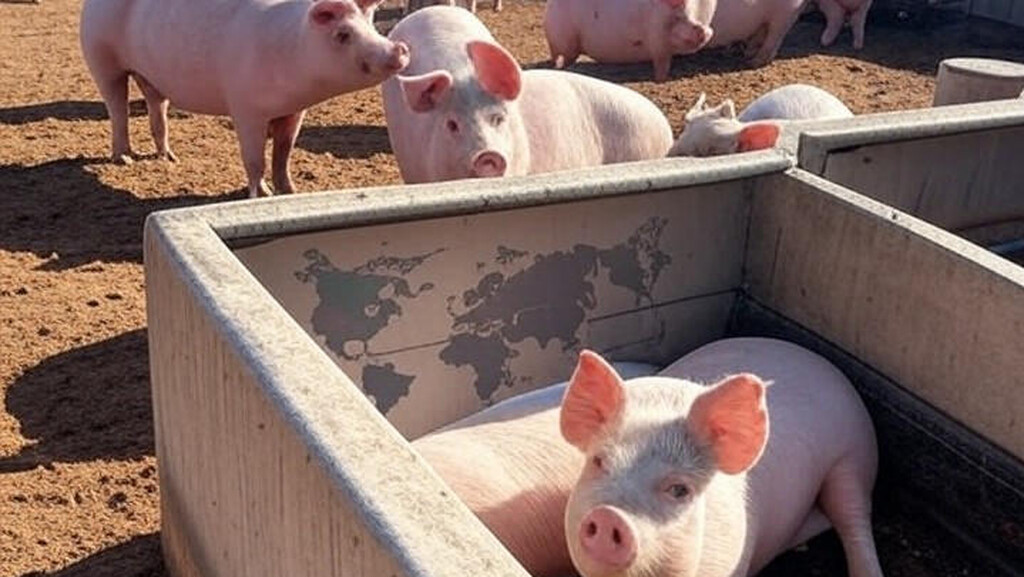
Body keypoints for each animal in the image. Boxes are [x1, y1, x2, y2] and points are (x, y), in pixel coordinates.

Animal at [80, 0, 410, 198]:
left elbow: (283, 154)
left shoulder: (295, 111)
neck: (293, 47)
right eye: (342, 34)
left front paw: (291, 192)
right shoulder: (245, 108)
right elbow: (255, 159)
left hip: (150, 76)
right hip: (100, 57)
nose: (398, 49)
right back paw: (123, 158)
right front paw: (261, 194)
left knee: (156, 106)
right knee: (117, 108)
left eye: (370, 25)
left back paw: (169, 157)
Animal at [543, 0, 716, 82]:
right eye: (679, 17)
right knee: (559, 56)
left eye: (693, 15)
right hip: (561, 41)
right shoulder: (657, 43)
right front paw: (660, 80)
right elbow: (661, 66)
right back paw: (558, 67)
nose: (706, 30)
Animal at [561, 339, 884, 577]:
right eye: (598, 462)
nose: (608, 514)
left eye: (680, 489)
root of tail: (815, 357)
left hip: (855, 454)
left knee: (854, 519)